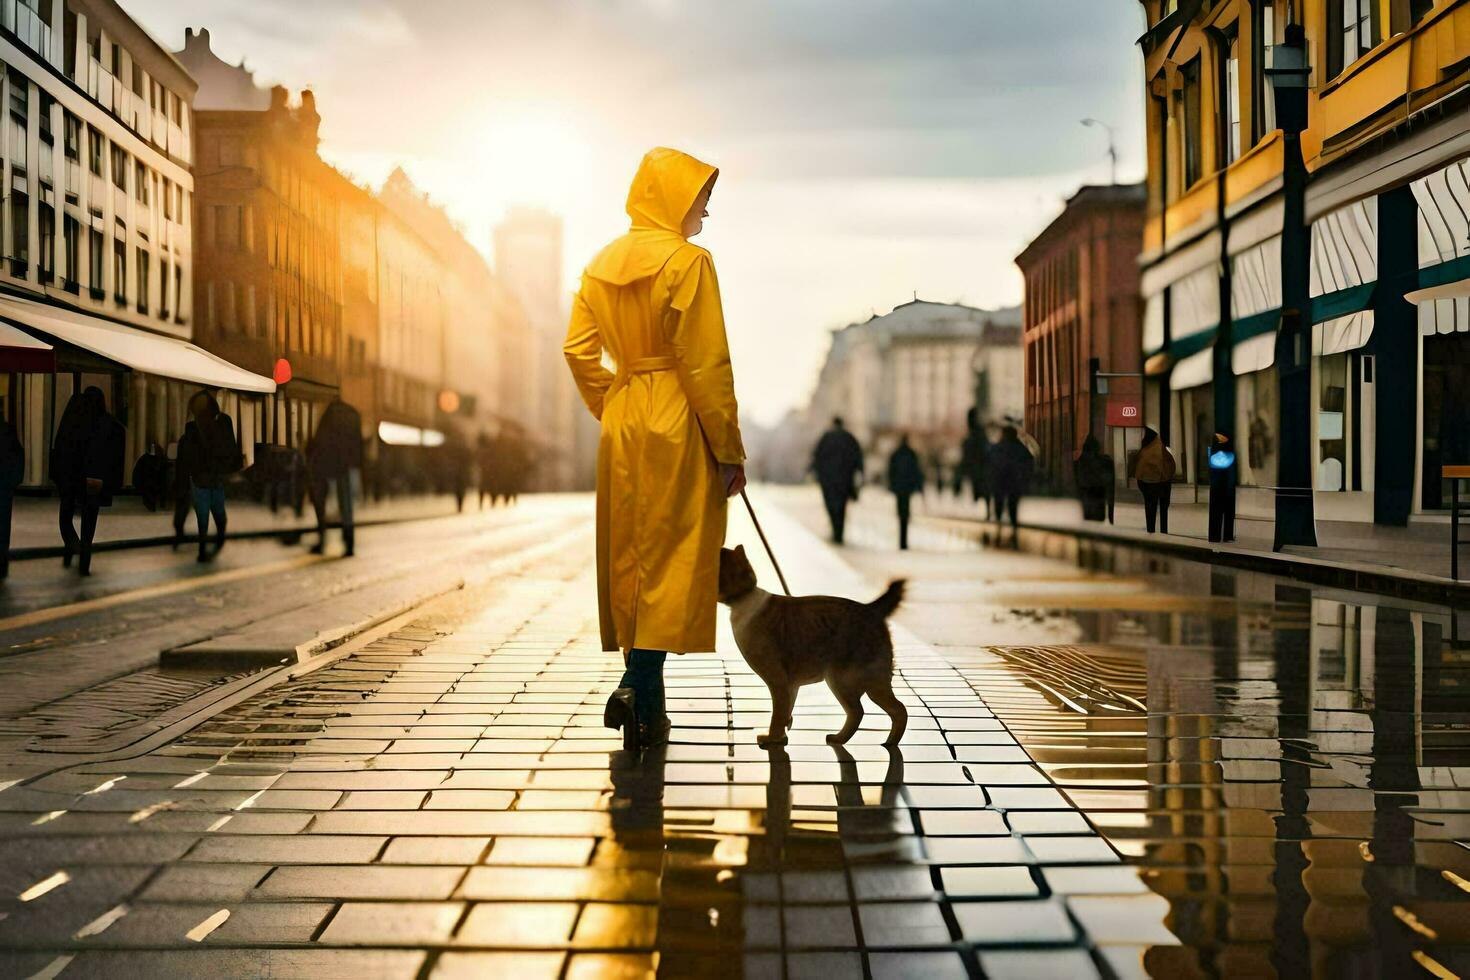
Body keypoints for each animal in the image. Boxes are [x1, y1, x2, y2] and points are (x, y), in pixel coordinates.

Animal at [714, 549, 899, 746]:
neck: (743, 597)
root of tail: (872, 610)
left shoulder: (778, 680)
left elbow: (778, 715)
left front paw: (772, 738)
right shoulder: (790, 685)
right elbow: (786, 712)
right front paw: (781, 737)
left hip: (846, 679)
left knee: (879, 710)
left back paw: (879, 741)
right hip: (867, 681)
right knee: (881, 710)